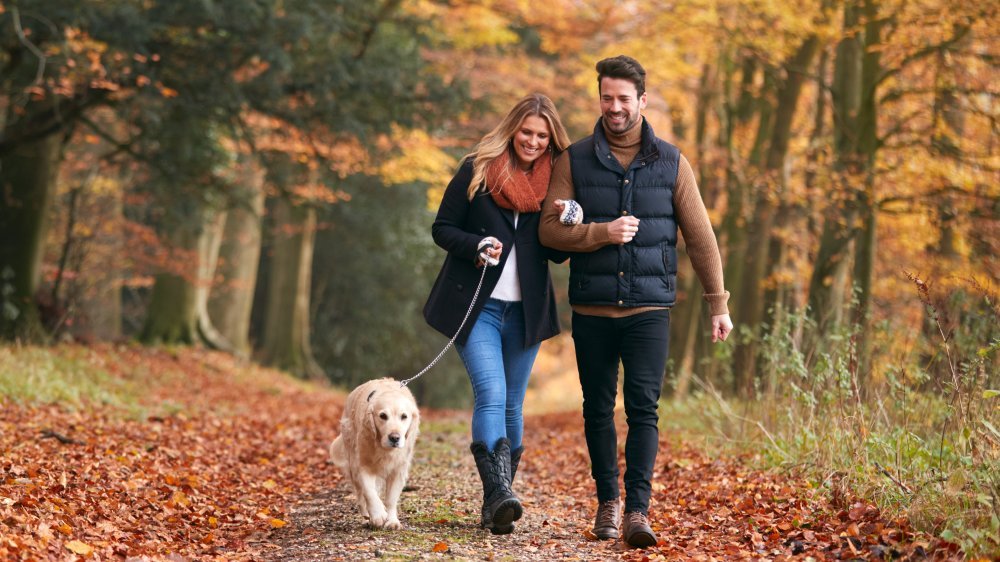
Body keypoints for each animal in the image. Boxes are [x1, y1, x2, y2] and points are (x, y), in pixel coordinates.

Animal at [330, 376, 420, 524]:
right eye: (383, 416)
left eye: (404, 416)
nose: (394, 438)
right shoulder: (363, 465)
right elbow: (369, 492)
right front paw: (378, 515)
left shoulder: (398, 470)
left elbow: (391, 499)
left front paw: (392, 521)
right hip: (352, 461)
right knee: (360, 494)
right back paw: (367, 513)